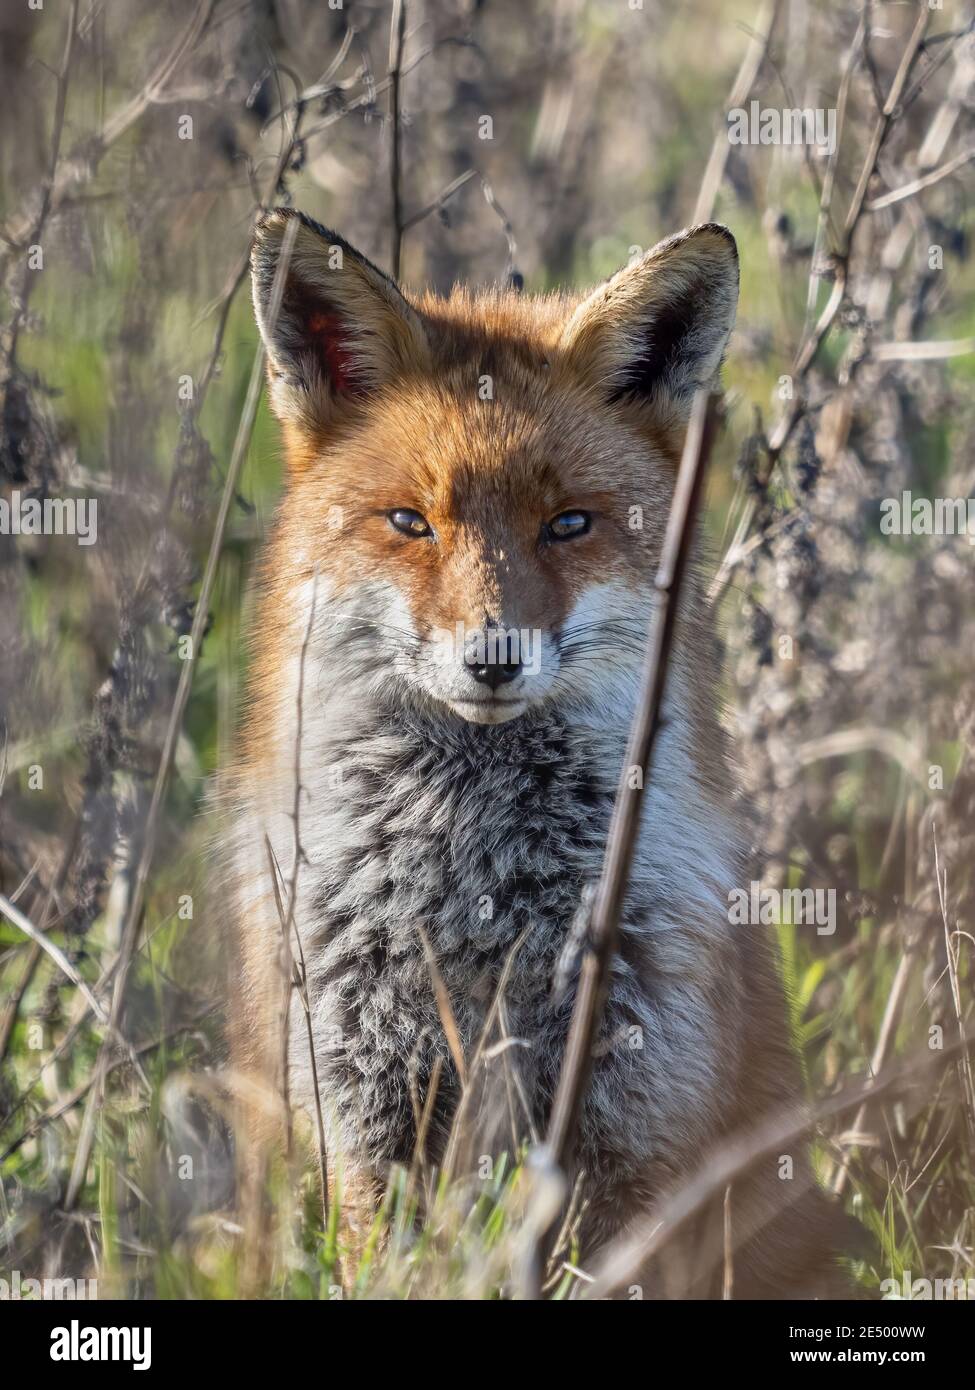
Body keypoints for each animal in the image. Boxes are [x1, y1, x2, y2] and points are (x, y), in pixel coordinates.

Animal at [222, 211, 845, 1295]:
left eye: (568, 524)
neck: (480, 890)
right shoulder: (363, 1116)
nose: (494, 656)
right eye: (410, 522)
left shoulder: (631, 1127)